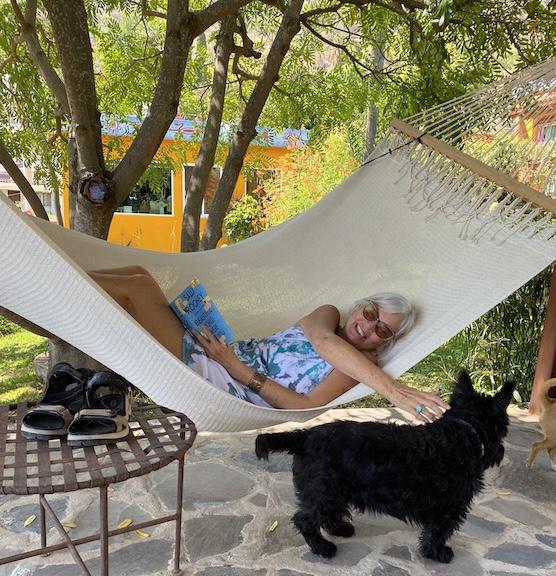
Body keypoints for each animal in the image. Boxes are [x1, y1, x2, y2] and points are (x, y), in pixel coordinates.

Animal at [255, 371, 514, 563]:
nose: (500, 452)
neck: (461, 431)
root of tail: (305, 436)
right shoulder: (450, 507)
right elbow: (438, 532)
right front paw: (438, 553)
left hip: (332, 492)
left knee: (327, 515)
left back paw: (340, 529)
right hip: (324, 491)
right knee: (304, 519)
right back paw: (323, 548)